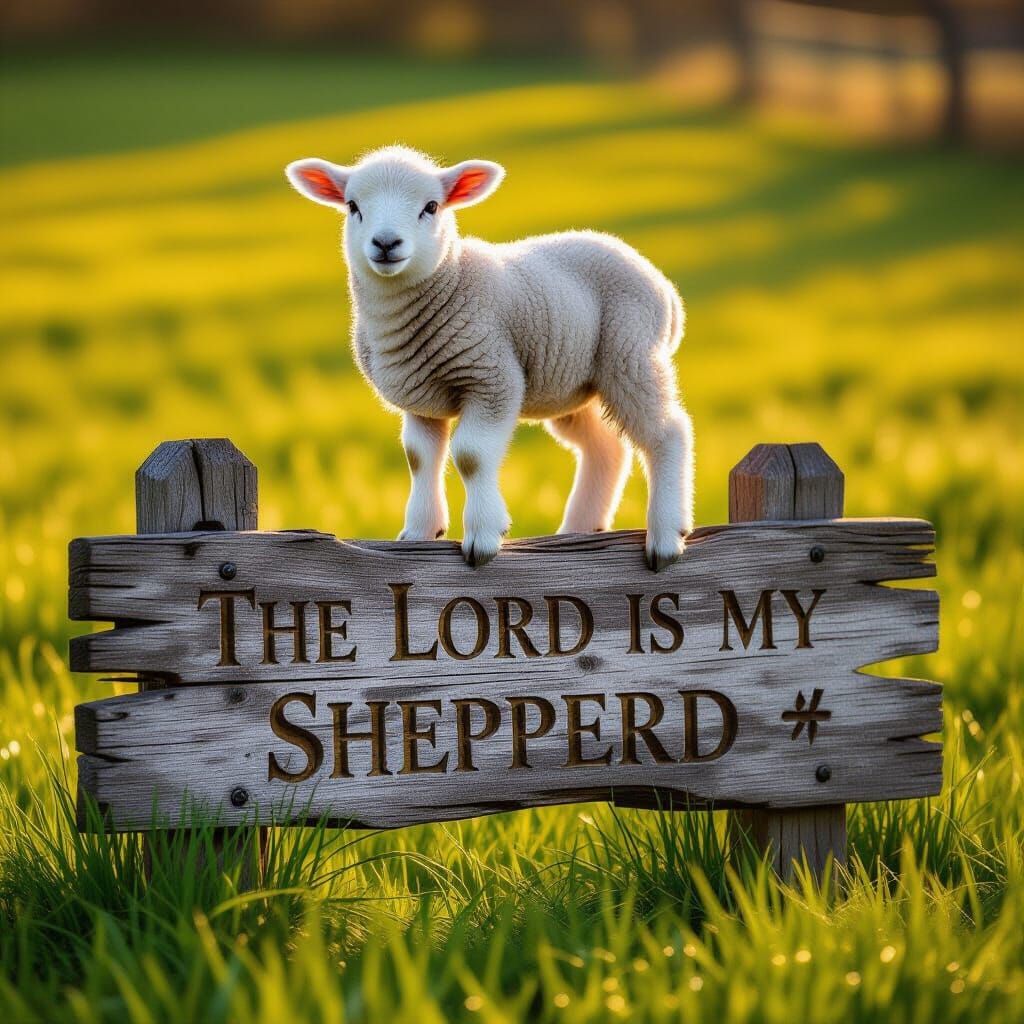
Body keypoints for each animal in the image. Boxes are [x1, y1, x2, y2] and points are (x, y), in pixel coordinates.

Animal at [285, 145, 694, 571]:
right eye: (353, 206)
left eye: (431, 206)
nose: (385, 243)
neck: (449, 279)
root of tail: (666, 290)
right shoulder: (420, 397)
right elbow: (419, 458)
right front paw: (419, 532)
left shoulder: (491, 377)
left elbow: (471, 456)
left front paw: (483, 536)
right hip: (572, 381)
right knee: (605, 447)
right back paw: (579, 529)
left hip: (631, 355)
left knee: (668, 432)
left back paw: (666, 535)